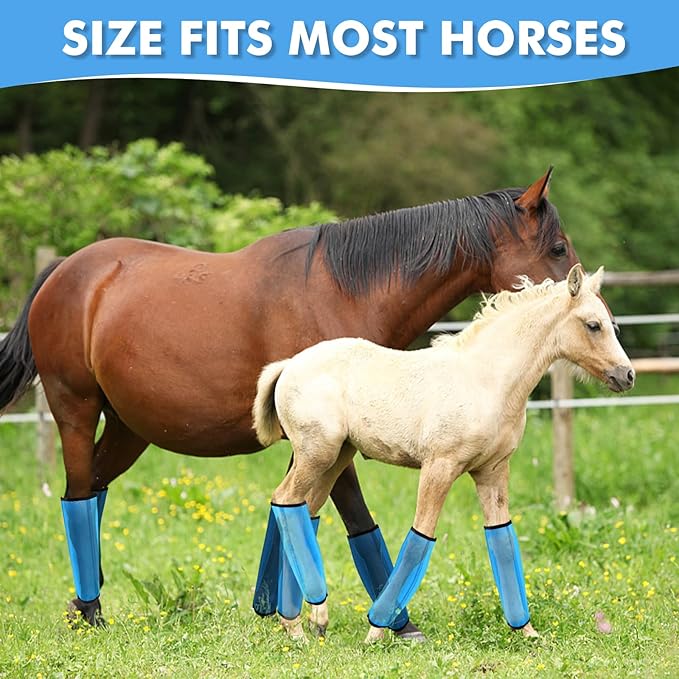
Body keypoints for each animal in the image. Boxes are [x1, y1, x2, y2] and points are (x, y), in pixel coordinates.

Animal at [0, 168, 580, 636]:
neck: (344, 291)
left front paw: (277, 609)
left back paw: (84, 604)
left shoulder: (321, 441)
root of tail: (65, 272)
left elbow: (299, 514)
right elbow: (354, 518)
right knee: (78, 496)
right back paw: (92, 612)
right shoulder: (334, 440)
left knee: (94, 490)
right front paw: (394, 622)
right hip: (76, 410)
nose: (587, 301)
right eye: (557, 248)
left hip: (129, 428)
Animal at [252, 264, 634, 642]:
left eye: (611, 323)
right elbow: (421, 535)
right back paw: (295, 625)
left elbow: (502, 538)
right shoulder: (440, 466)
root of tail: (289, 364)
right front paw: (378, 628)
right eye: (593, 325)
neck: (486, 381)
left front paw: (526, 631)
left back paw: (307, 618)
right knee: (284, 500)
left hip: (336, 458)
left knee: (304, 509)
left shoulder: (493, 471)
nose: (627, 375)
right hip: (316, 453)